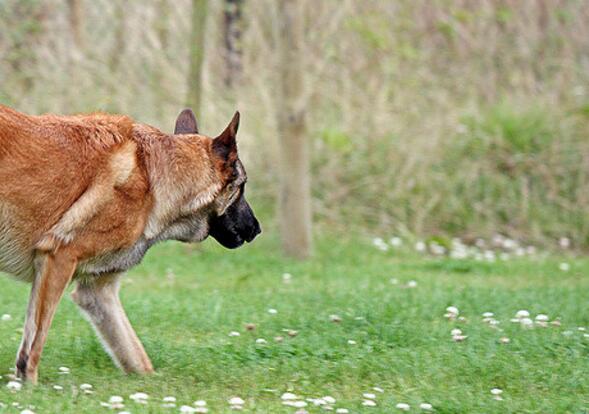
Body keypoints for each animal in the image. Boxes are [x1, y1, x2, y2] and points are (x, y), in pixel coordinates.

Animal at [0, 105, 261, 383]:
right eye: (242, 186)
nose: (257, 229)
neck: (155, 177)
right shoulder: (58, 259)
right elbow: (33, 345)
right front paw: (30, 386)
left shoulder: (96, 292)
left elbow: (137, 357)